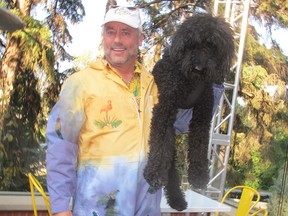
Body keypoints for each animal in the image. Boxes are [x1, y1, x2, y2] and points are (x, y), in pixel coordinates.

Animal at [143, 13, 234, 211]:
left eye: (212, 46)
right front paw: (154, 173)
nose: (198, 67)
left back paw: (177, 200)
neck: (191, 81)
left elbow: (199, 146)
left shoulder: (202, 116)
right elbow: (158, 145)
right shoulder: (164, 109)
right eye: (192, 44)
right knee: (167, 159)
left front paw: (198, 176)